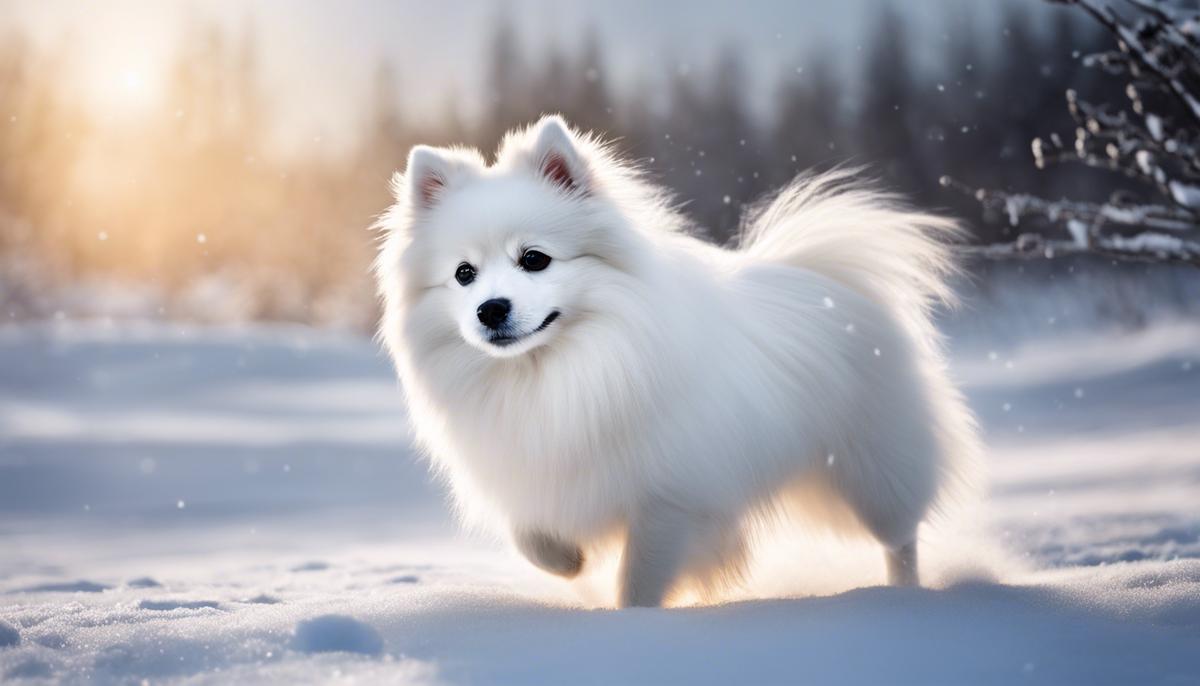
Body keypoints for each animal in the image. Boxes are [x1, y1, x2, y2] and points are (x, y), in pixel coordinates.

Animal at [372, 116, 974, 604]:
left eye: (534, 259)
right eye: (463, 274)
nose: (490, 308)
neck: (557, 370)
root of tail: (825, 276)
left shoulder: (669, 502)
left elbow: (639, 581)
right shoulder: (532, 474)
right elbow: (533, 538)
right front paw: (570, 563)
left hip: (872, 471)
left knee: (900, 536)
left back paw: (904, 597)